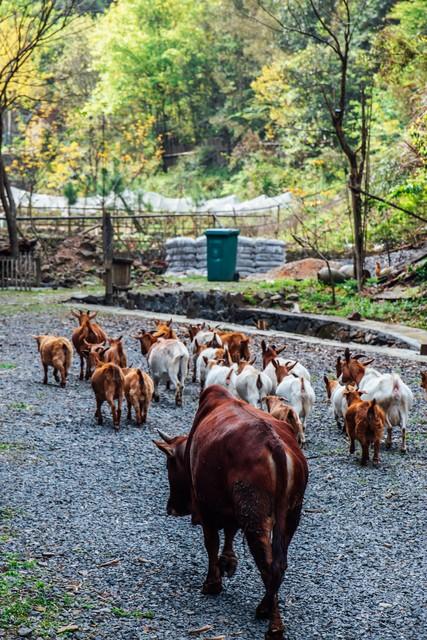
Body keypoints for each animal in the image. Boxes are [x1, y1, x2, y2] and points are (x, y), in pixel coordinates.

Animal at [154, 384, 308, 640]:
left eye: (169, 463)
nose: (171, 507)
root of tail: (274, 443)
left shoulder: (205, 507)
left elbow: (212, 543)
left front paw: (212, 583)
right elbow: (229, 532)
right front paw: (228, 562)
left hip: (254, 517)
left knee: (269, 565)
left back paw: (272, 622)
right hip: (290, 515)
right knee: (280, 563)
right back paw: (267, 609)